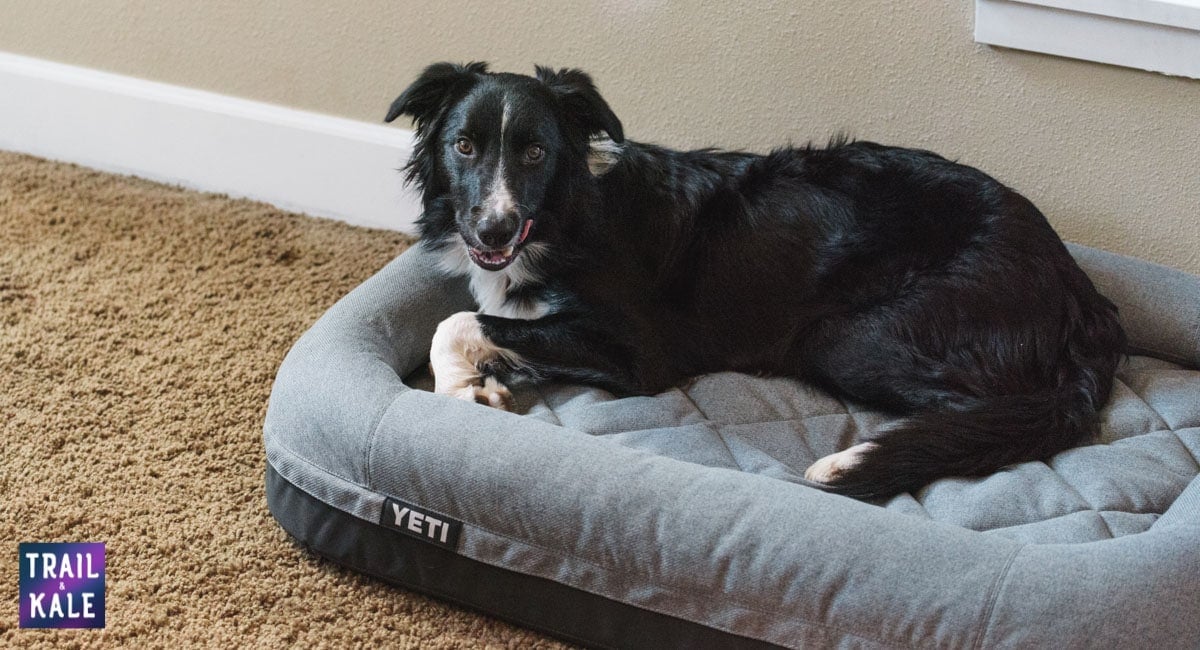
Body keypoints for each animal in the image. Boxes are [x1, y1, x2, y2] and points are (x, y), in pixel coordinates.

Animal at [381, 63, 1123, 498]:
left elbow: (459, 321)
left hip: (849, 336)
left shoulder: (640, 353)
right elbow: (484, 318)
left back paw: (856, 463)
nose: (492, 232)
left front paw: (463, 388)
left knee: (999, 412)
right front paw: (471, 381)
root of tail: (1077, 288)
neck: (566, 216)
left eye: (535, 151)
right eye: (463, 147)